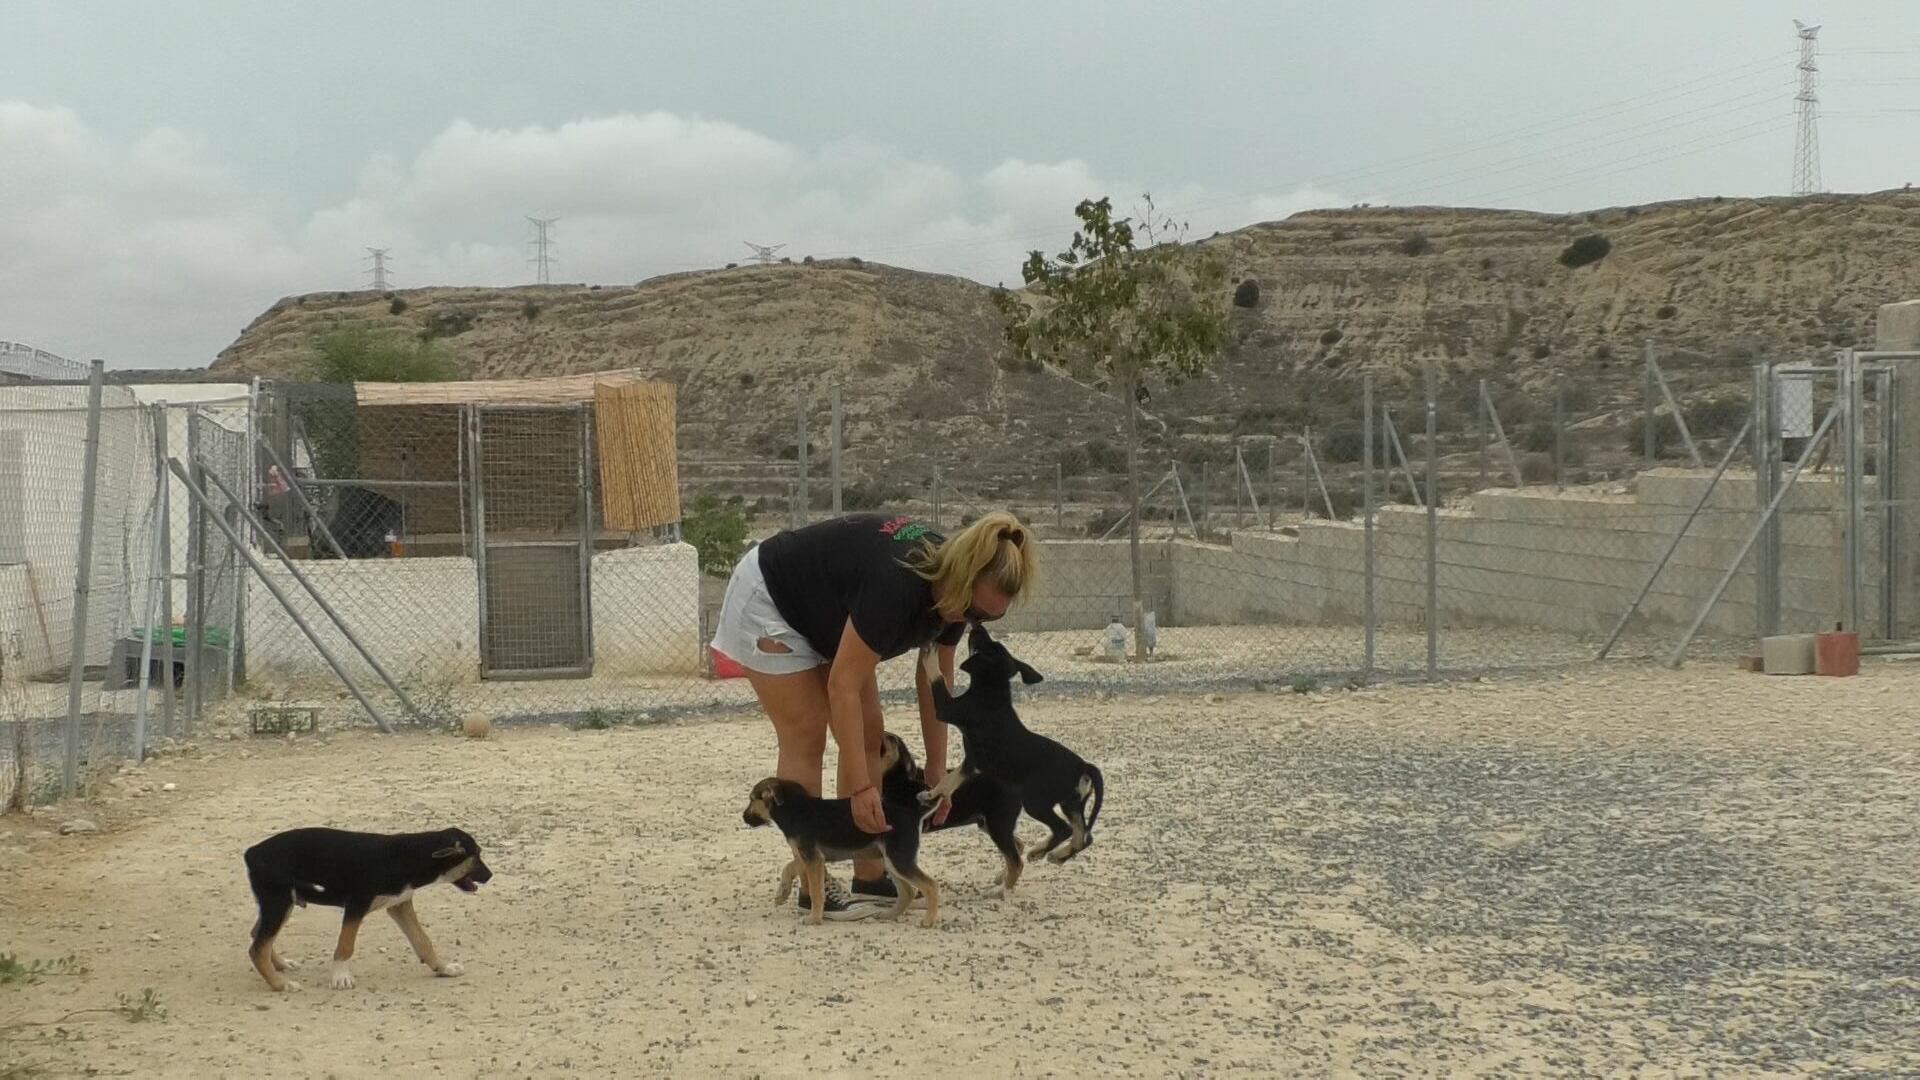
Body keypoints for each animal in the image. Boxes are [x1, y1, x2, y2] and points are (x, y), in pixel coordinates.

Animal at [240, 822, 491, 991]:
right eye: (477, 855)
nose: (490, 875)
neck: (408, 855)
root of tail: (251, 852)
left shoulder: (400, 905)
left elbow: (423, 941)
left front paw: (443, 968)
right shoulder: (356, 906)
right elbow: (345, 945)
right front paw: (340, 977)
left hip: (280, 905)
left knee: (257, 936)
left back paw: (281, 965)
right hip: (278, 903)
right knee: (258, 948)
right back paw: (280, 984)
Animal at [737, 772, 940, 926]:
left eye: (751, 799)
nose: (743, 818)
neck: (792, 809)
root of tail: (913, 814)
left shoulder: (812, 858)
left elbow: (816, 892)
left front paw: (814, 918)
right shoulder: (807, 856)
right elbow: (789, 867)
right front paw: (782, 893)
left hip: (899, 860)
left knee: (930, 885)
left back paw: (928, 921)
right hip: (892, 860)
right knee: (907, 892)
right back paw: (888, 915)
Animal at [879, 726, 1036, 895]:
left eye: (890, 738)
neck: (897, 779)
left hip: (998, 824)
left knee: (1016, 862)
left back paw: (1001, 890)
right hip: (988, 824)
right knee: (1018, 847)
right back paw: (1001, 877)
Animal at [917, 618, 1105, 860]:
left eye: (982, 645)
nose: (977, 627)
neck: (992, 688)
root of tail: (1084, 765)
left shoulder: (947, 709)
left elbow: (936, 677)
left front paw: (930, 655)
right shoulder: (971, 762)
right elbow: (949, 781)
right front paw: (931, 795)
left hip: (1036, 801)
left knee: (1065, 829)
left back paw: (1040, 851)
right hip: (1071, 802)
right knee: (1083, 835)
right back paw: (1059, 855)